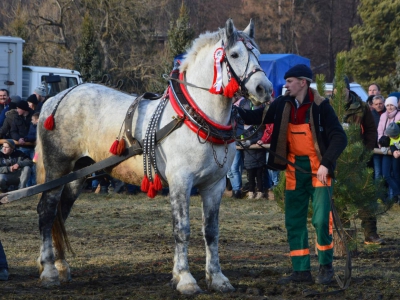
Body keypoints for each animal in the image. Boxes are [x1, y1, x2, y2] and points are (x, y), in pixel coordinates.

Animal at [35, 19, 272, 296]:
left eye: (258, 54)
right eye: (234, 55)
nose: (264, 89)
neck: (193, 117)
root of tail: (55, 99)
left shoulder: (213, 185)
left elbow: (211, 231)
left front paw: (216, 278)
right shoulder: (181, 182)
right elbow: (182, 229)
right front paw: (185, 279)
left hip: (77, 175)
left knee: (60, 213)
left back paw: (61, 266)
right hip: (57, 168)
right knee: (47, 211)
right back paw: (49, 271)